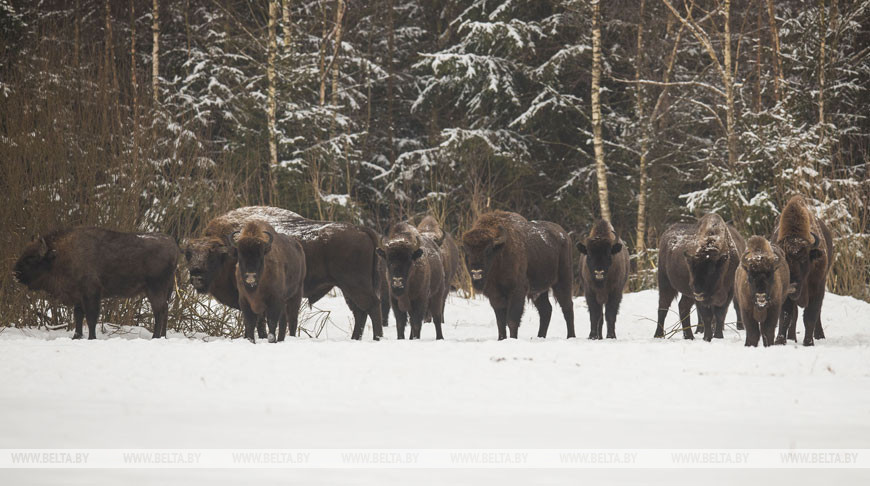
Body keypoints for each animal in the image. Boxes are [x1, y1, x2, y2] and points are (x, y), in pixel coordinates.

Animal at [12, 227, 179, 338]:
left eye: (32, 258)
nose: (14, 273)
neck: (59, 255)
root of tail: (173, 244)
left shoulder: (91, 293)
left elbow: (91, 318)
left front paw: (91, 338)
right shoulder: (78, 296)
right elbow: (78, 316)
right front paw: (76, 336)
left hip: (155, 289)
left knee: (160, 311)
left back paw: (155, 337)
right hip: (165, 290)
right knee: (165, 310)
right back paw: (163, 336)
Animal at [185, 207, 384, 340]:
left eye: (212, 256)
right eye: (189, 255)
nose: (196, 276)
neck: (229, 252)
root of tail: (362, 230)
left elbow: (261, 322)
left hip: (355, 284)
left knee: (373, 306)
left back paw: (377, 338)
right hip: (347, 288)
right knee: (360, 312)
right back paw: (355, 338)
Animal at [460, 211, 576, 340]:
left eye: (488, 250)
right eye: (467, 252)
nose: (476, 272)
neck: (499, 253)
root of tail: (564, 235)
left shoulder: (516, 292)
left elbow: (512, 320)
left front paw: (512, 339)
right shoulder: (494, 296)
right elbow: (500, 322)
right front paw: (501, 339)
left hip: (563, 281)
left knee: (567, 307)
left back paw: (570, 336)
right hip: (539, 291)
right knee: (546, 310)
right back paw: (540, 337)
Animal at [656, 213, 748, 342]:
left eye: (712, 271)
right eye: (691, 269)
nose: (697, 291)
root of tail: (667, 232)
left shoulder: (728, 292)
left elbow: (720, 315)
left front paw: (718, 336)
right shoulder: (701, 299)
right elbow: (707, 316)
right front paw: (707, 337)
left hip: (687, 294)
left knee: (682, 307)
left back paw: (689, 336)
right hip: (666, 283)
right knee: (663, 307)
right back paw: (659, 335)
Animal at [772, 194, 836, 346]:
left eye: (803, 258)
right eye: (783, 260)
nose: (793, 284)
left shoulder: (817, 289)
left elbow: (810, 316)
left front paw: (808, 342)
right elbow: (786, 315)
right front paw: (780, 341)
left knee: (817, 314)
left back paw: (819, 335)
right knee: (794, 314)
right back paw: (791, 337)